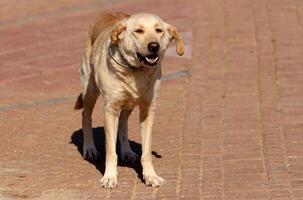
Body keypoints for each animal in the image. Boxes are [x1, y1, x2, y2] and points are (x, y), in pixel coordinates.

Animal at [75, 11, 184, 188]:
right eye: (138, 31)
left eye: (159, 30)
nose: (154, 46)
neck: (136, 71)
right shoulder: (110, 109)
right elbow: (111, 151)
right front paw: (110, 177)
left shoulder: (148, 109)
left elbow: (146, 151)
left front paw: (151, 176)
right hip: (90, 90)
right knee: (86, 115)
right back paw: (89, 148)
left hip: (128, 104)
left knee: (123, 123)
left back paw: (127, 151)